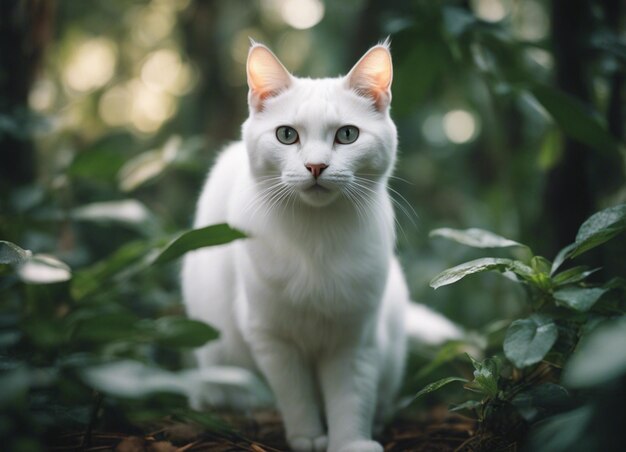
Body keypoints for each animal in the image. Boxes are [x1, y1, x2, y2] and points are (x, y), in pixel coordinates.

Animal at [180, 41, 458, 452]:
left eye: (347, 135)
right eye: (286, 135)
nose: (315, 166)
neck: (317, 238)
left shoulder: (355, 337)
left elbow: (350, 397)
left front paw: (351, 442)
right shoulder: (272, 336)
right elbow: (296, 394)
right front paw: (308, 436)